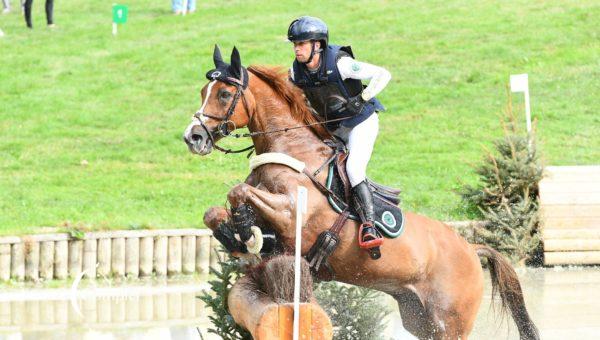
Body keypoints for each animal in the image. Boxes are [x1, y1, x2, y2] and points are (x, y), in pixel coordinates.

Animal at [183, 45, 540, 340]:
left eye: (225, 94)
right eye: (203, 91)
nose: (193, 137)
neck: (290, 147)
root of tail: (472, 248)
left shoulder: (291, 211)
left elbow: (238, 191)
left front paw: (245, 232)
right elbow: (215, 211)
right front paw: (235, 234)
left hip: (451, 323)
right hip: (419, 318)